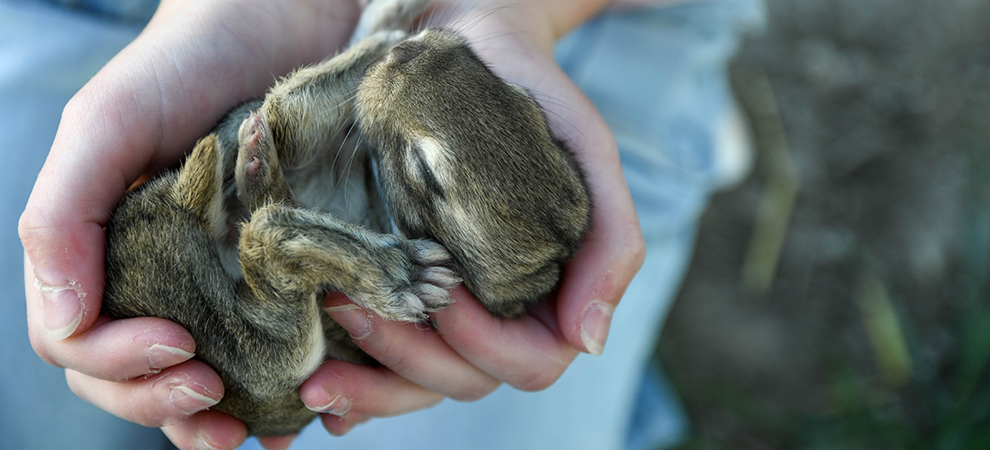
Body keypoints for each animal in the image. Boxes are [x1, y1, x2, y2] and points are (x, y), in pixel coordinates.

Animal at [102, 0, 588, 436]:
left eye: (425, 172)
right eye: (523, 98)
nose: (405, 54)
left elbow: (288, 128)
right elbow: (291, 124)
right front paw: (390, 28)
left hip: (262, 361)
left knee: (266, 231)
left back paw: (398, 271)